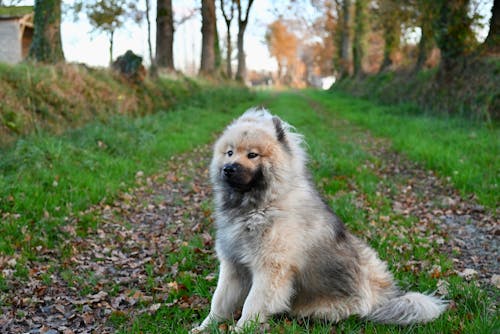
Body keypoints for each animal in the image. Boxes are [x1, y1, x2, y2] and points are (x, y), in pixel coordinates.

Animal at [192, 109, 450, 332]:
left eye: (252, 155)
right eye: (229, 152)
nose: (228, 168)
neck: (260, 206)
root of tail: (382, 300)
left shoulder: (270, 270)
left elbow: (251, 305)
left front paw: (240, 329)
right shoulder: (233, 266)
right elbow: (219, 301)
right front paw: (204, 327)